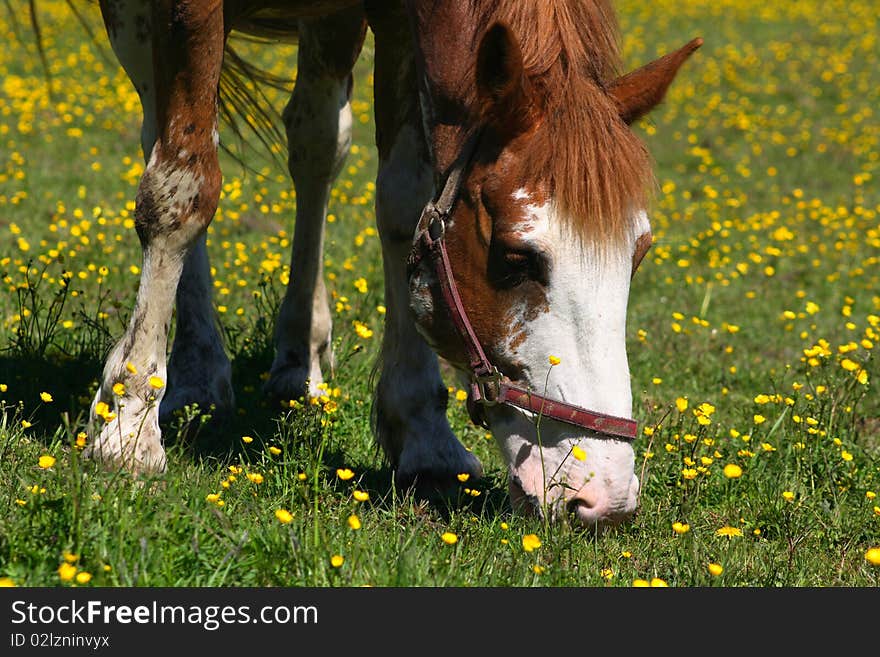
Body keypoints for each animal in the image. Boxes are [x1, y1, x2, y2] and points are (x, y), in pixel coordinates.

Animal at [84, 0, 700, 532]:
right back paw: (195, 372)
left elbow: (406, 202)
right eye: (515, 257)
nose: (606, 497)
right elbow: (182, 188)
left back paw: (300, 359)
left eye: (638, 255)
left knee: (315, 141)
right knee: (169, 135)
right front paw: (127, 422)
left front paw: (424, 432)